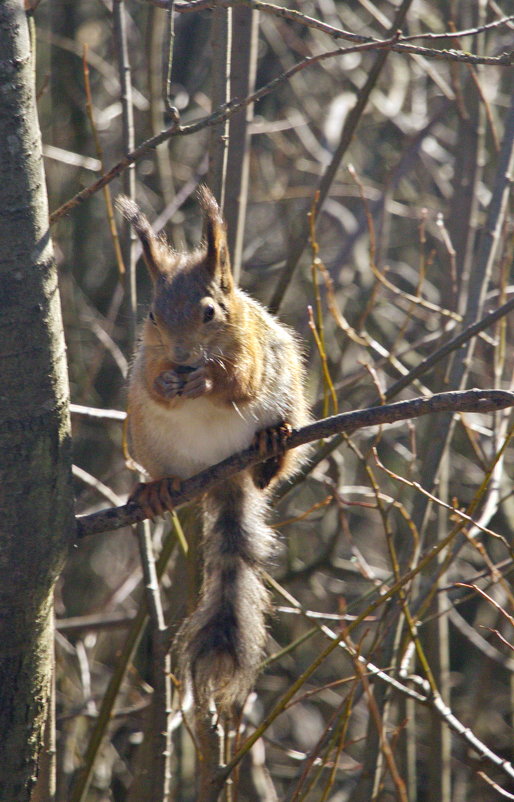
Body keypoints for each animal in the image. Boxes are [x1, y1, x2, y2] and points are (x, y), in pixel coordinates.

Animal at [116, 189, 308, 712]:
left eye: (210, 312)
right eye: (152, 315)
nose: (182, 357)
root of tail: (225, 471)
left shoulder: (254, 350)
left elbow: (239, 382)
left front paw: (206, 381)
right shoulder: (147, 358)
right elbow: (153, 384)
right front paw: (169, 382)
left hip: (290, 399)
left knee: (272, 460)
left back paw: (269, 446)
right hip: (151, 444)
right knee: (169, 473)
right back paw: (158, 490)